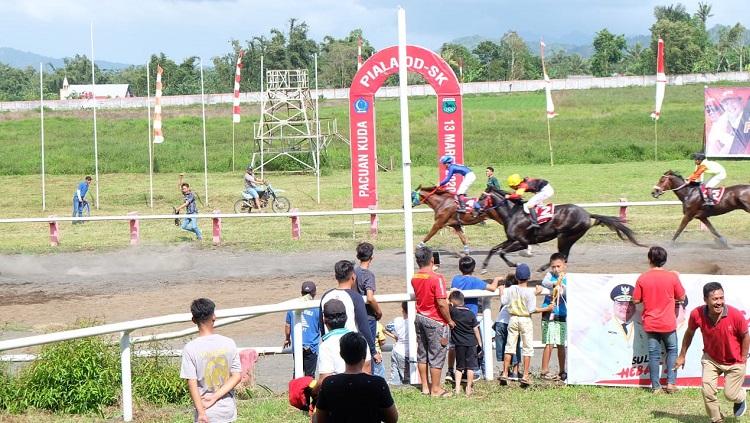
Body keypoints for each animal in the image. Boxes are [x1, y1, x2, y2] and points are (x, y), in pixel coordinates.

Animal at [484, 187, 648, 274]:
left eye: (481, 198)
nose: (477, 209)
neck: (513, 213)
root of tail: (587, 214)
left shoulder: (522, 242)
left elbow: (502, 252)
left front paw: (514, 265)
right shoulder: (511, 239)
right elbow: (494, 249)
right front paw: (484, 267)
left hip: (565, 236)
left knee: (563, 255)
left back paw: (543, 267)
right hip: (568, 237)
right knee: (564, 256)